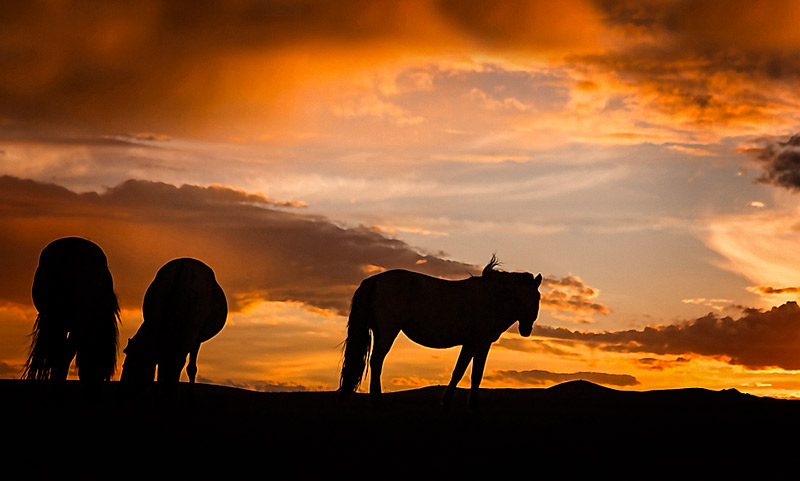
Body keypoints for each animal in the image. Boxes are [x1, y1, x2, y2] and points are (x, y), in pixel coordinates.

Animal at [338, 255, 544, 408]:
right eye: (520, 298)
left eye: (536, 298)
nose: (526, 329)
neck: (489, 299)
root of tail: (372, 281)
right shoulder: (477, 343)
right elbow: (468, 373)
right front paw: (460, 403)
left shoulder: (474, 344)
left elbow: (467, 372)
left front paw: (458, 403)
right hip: (388, 331)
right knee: (376, 361)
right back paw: (377, 401)